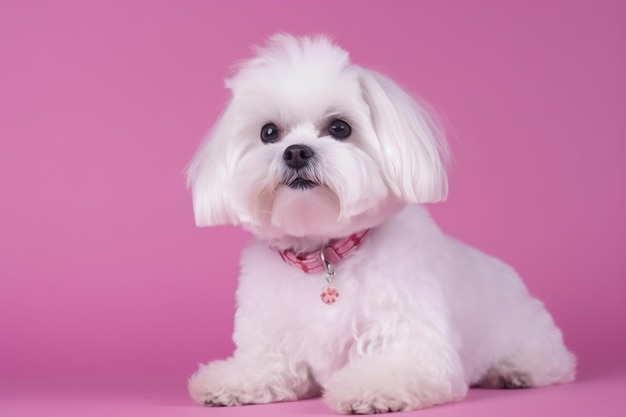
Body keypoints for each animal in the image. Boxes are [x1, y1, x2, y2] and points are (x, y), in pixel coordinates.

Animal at [186, 33, 576, 412]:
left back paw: (513, 372)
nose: (295, 151)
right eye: (269, 133)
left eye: (339, 127)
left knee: (554, 362)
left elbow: (391, 371)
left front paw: (368, 391)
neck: (324, 255)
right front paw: (226, 383)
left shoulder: (416, 349)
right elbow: (266, 368)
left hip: (532, 337)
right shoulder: (274, 349)